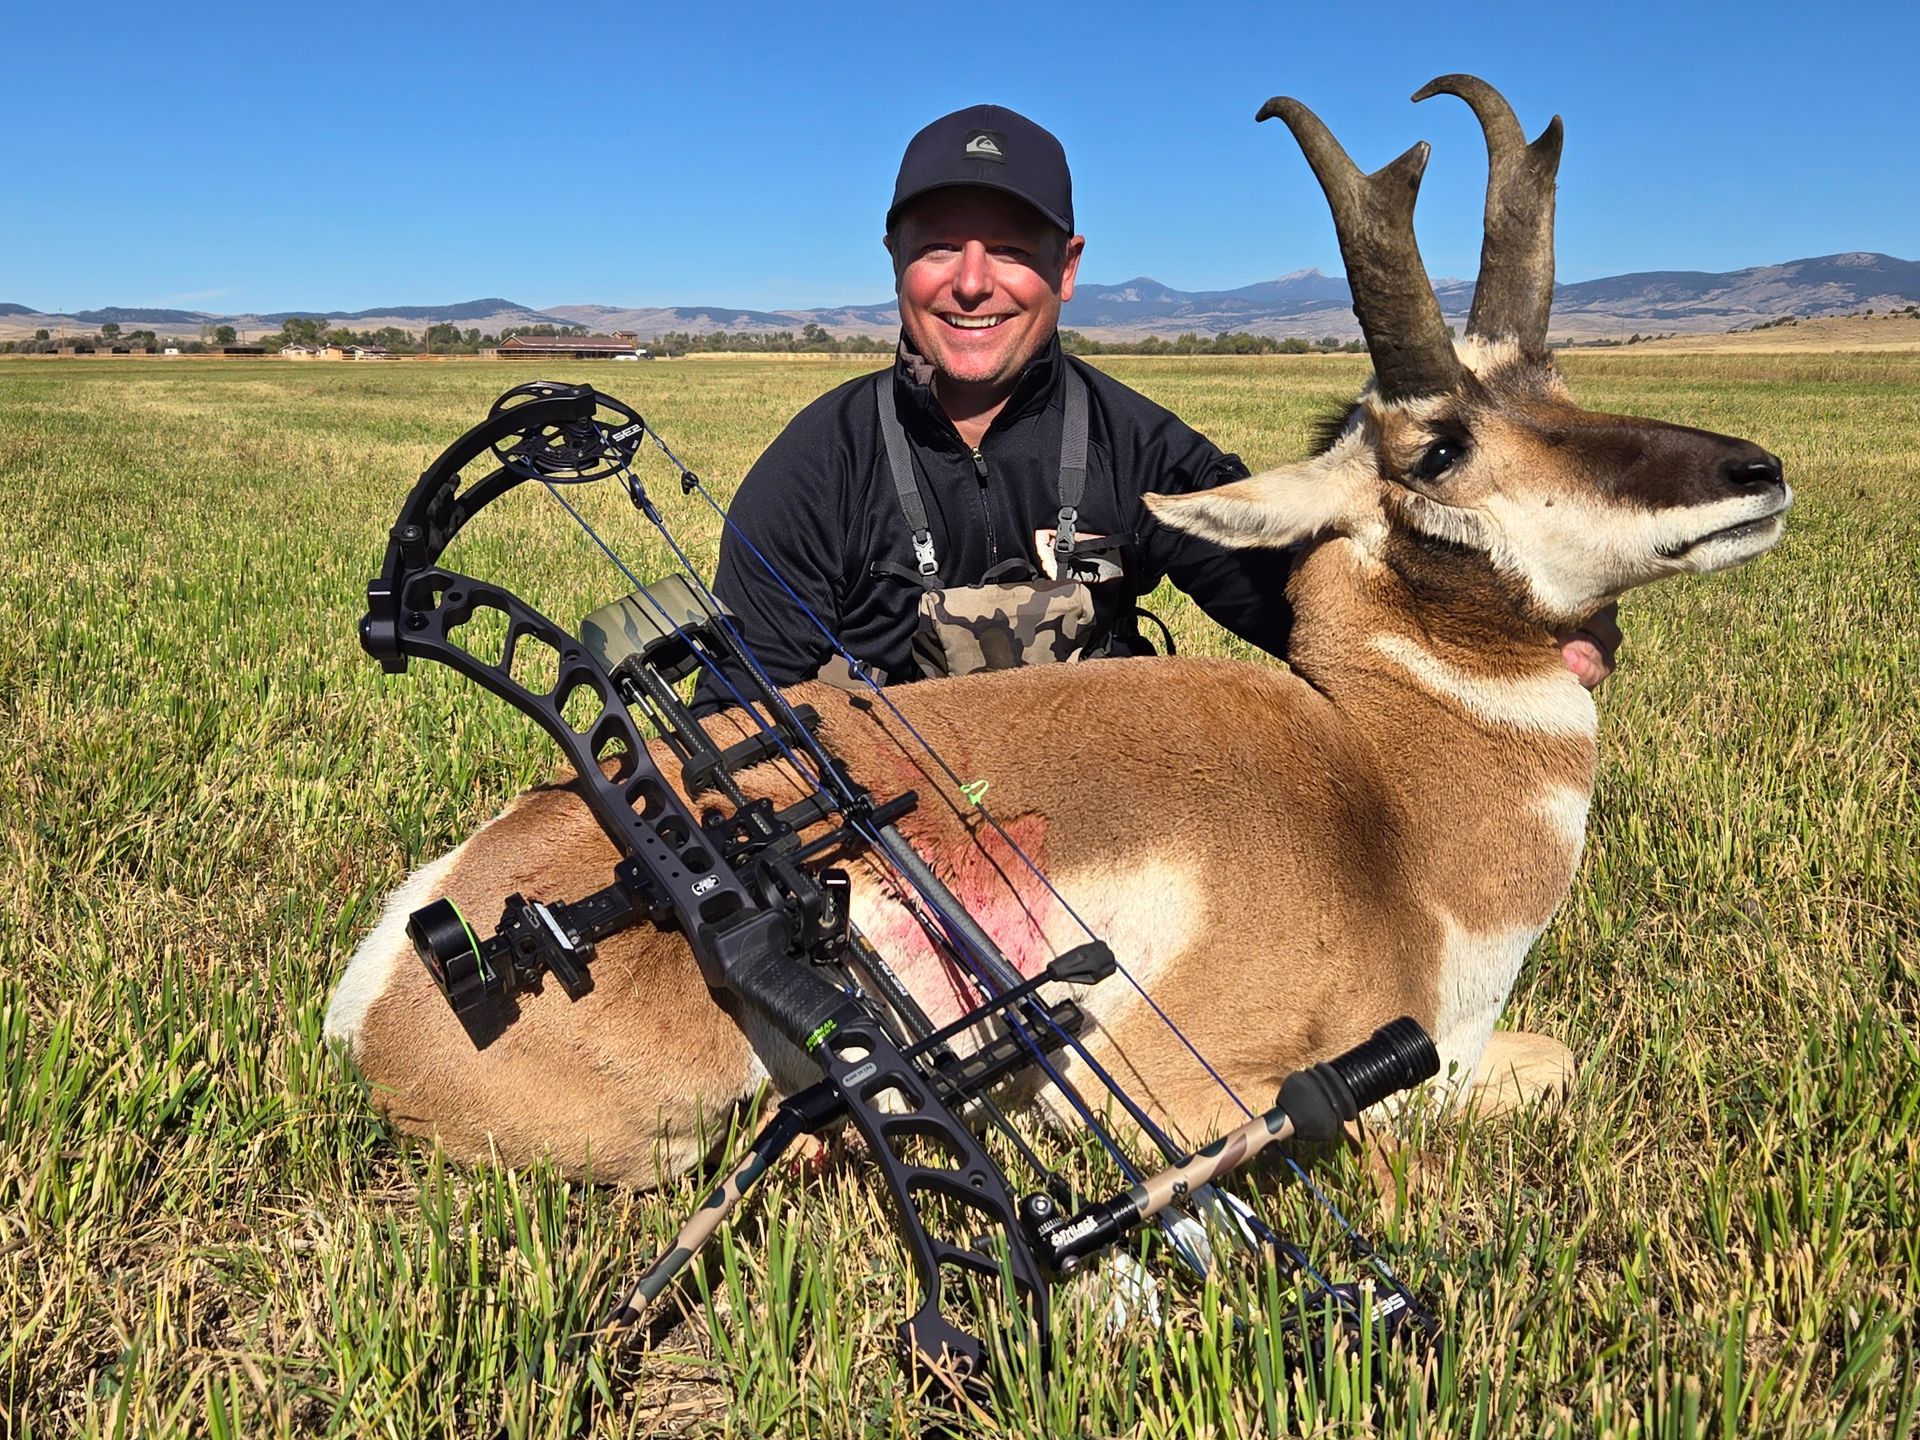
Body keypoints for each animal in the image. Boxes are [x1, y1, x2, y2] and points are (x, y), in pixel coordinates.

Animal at [325, 77, 1787, 1189]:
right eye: (1439, 447)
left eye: (1558, 387)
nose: (1756, 471)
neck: (1379, 800)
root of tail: (399, 973)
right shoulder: (1200, 1084)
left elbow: (1557, 1062)